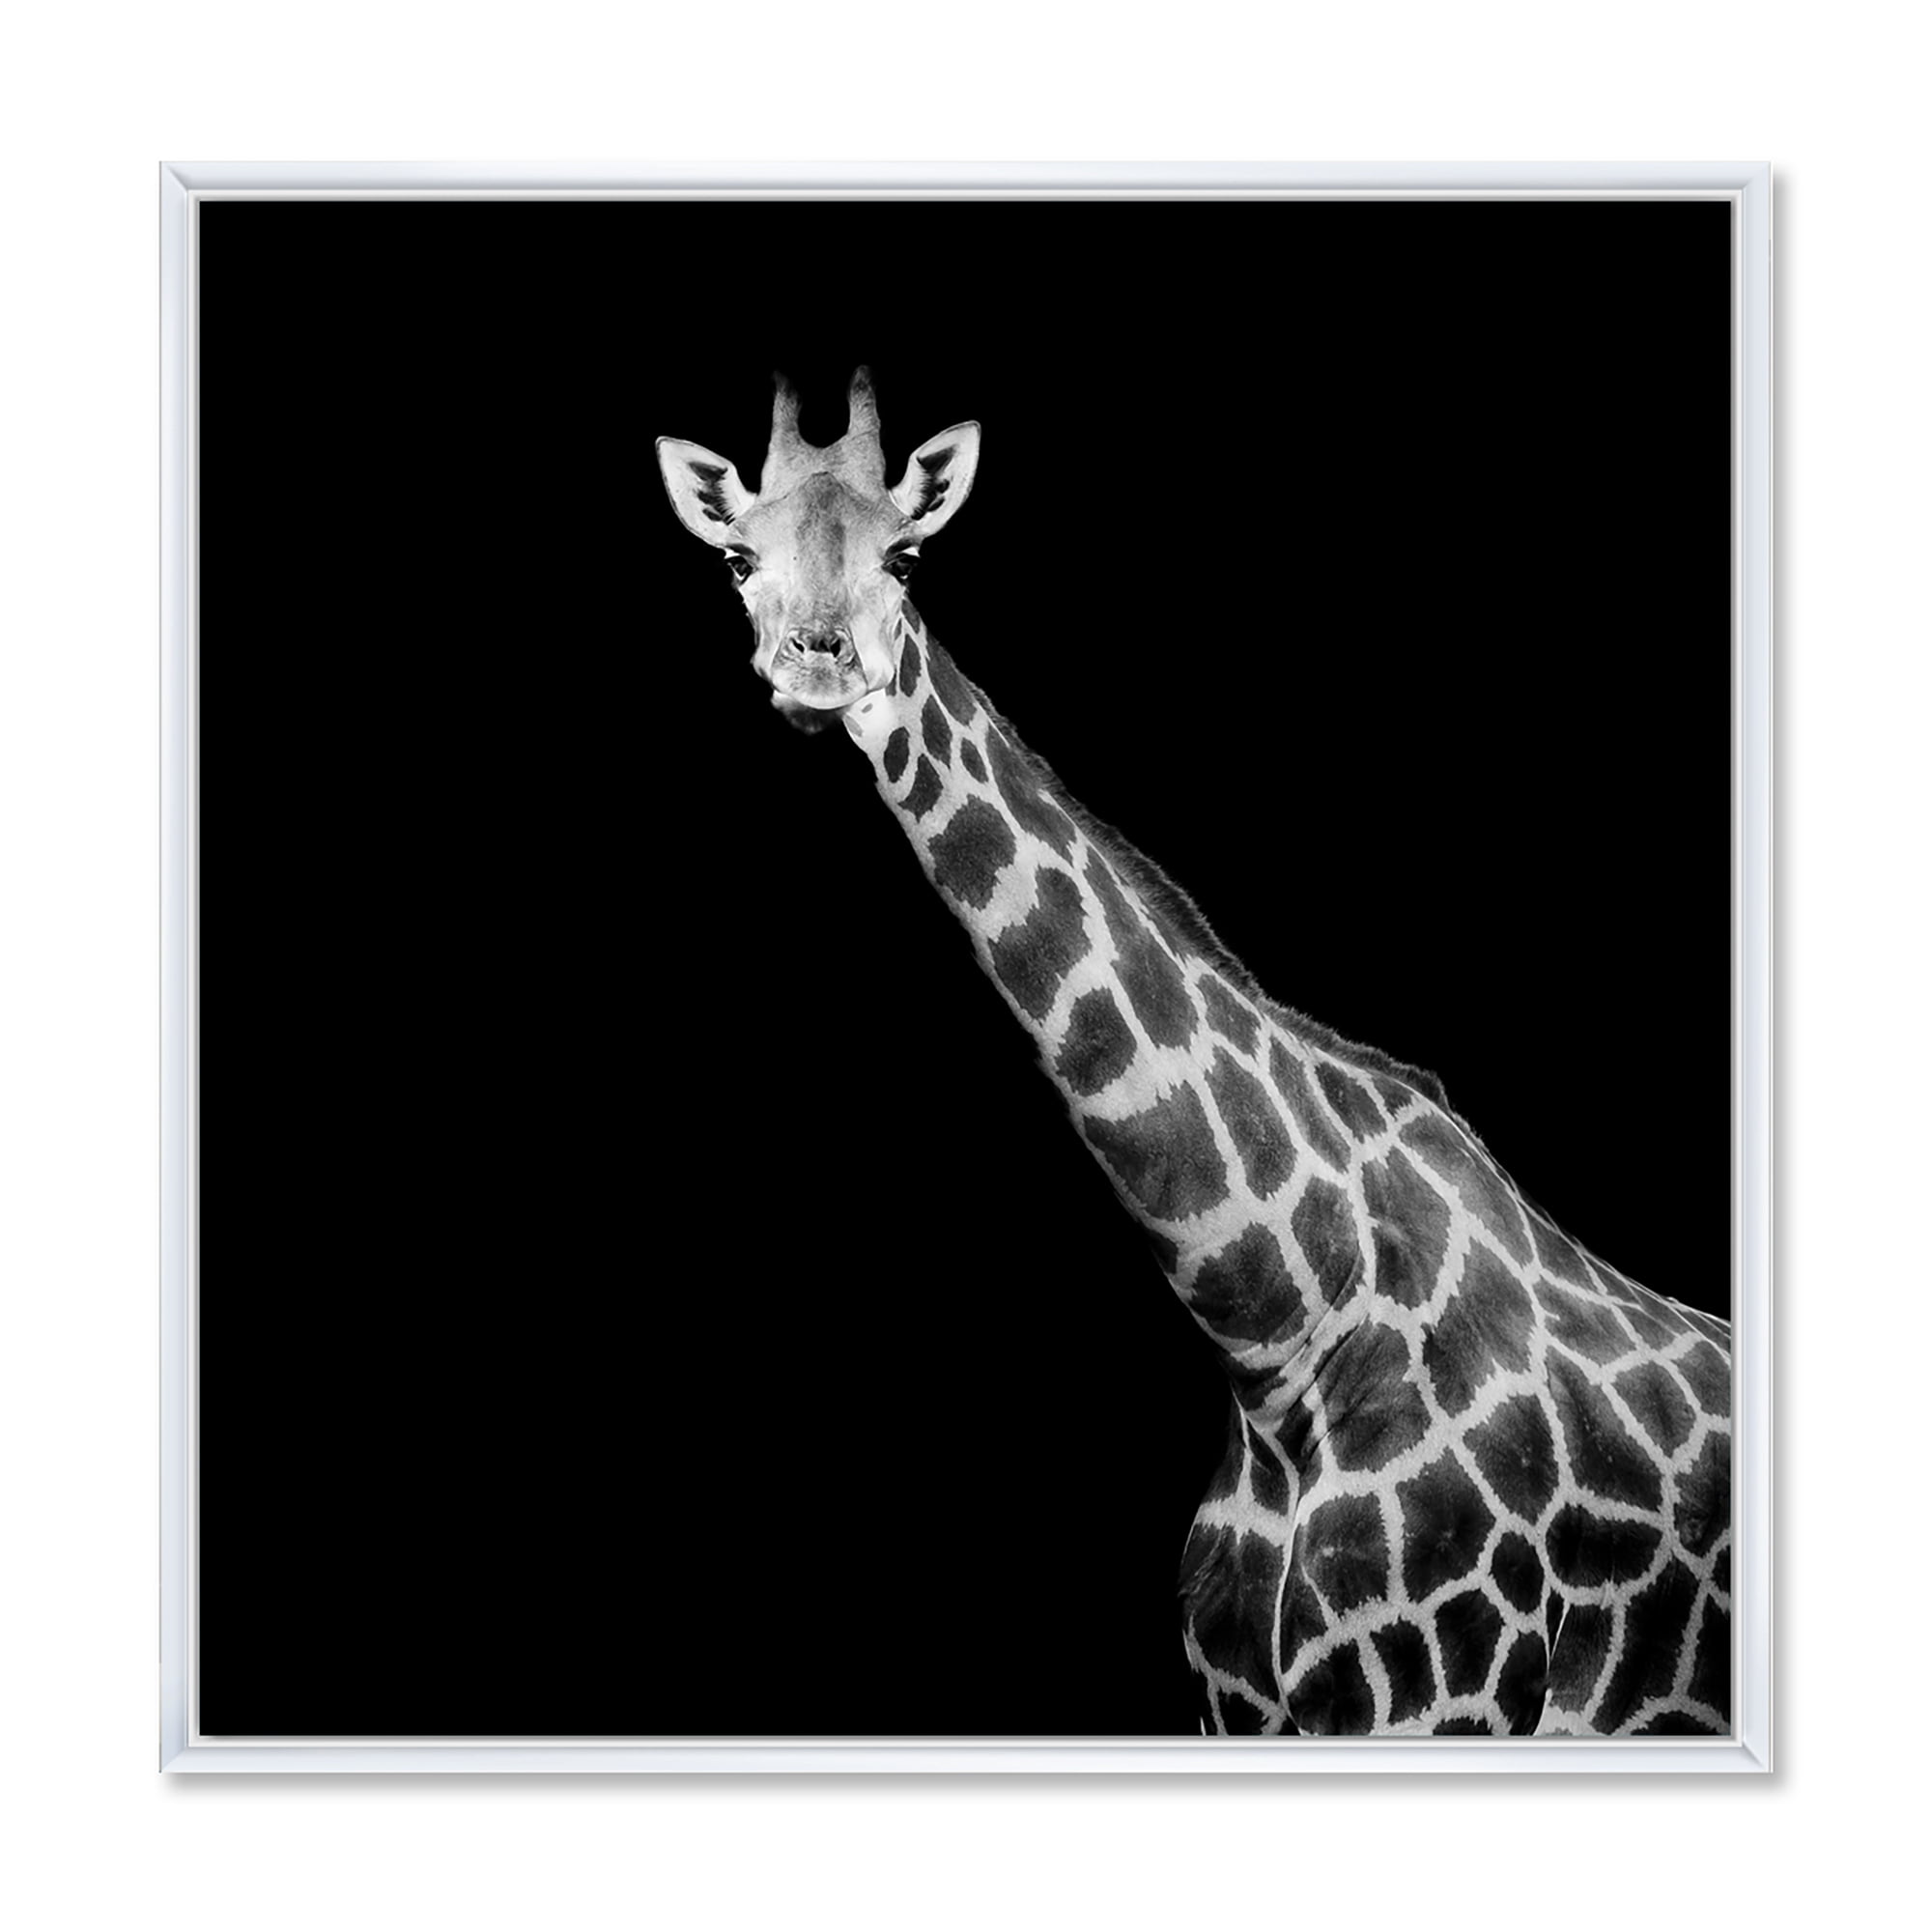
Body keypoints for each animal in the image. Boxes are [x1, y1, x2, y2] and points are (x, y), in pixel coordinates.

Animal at [656, 370, 1733, 1738]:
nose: (814, 661)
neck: (1277, 1336)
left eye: (906, 555)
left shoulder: (1449, 1693)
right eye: (738, 556)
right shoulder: (1237, 1703)